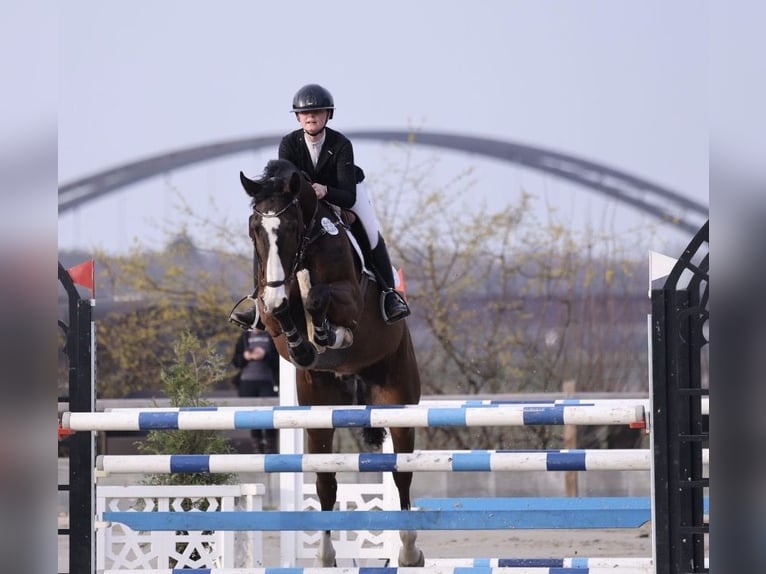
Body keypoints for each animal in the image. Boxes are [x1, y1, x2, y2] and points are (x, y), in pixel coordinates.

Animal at [239, 159, 423, 567]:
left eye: (291, 228)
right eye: (255, 229)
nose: (275, 292)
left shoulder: (350, 297)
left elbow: (317, 298)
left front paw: (327, 333)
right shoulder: (269, 309)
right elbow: (282, 313)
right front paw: (305, 345)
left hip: (398, 397)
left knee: (402, 473)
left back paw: (408, 552)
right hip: (319, 407)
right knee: (325, 480)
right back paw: (326, 556)